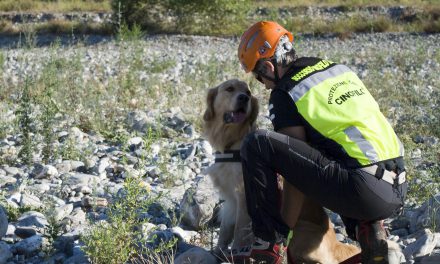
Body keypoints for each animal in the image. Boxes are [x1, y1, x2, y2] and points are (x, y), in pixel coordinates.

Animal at [203, 79, 360, 262]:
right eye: (229, 89)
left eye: (248, 93)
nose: (244, 98)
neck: (232, 142)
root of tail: (336, 244)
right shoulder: (230, 200)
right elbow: (225, 230)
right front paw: (218, 252)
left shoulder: (243, 197)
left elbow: (239, 233)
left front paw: (236, 254)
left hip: (300, 230)